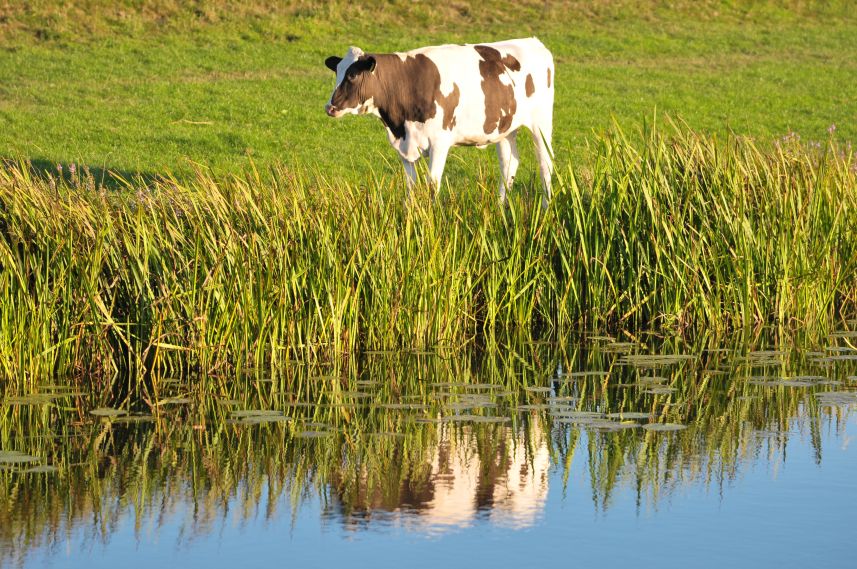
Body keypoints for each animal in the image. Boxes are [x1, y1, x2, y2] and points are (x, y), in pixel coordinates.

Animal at [322, 37, 556, 206]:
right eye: (337, 73)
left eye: (352, 75)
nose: (330, 107)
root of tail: (533, 41)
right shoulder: (404, 147)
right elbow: (410, 188)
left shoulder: (439, 143)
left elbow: (432, 186)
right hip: (505, 128)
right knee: (509, 163)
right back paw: (500, 208)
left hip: (541, 123)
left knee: (545, 163)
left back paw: (546, 208)